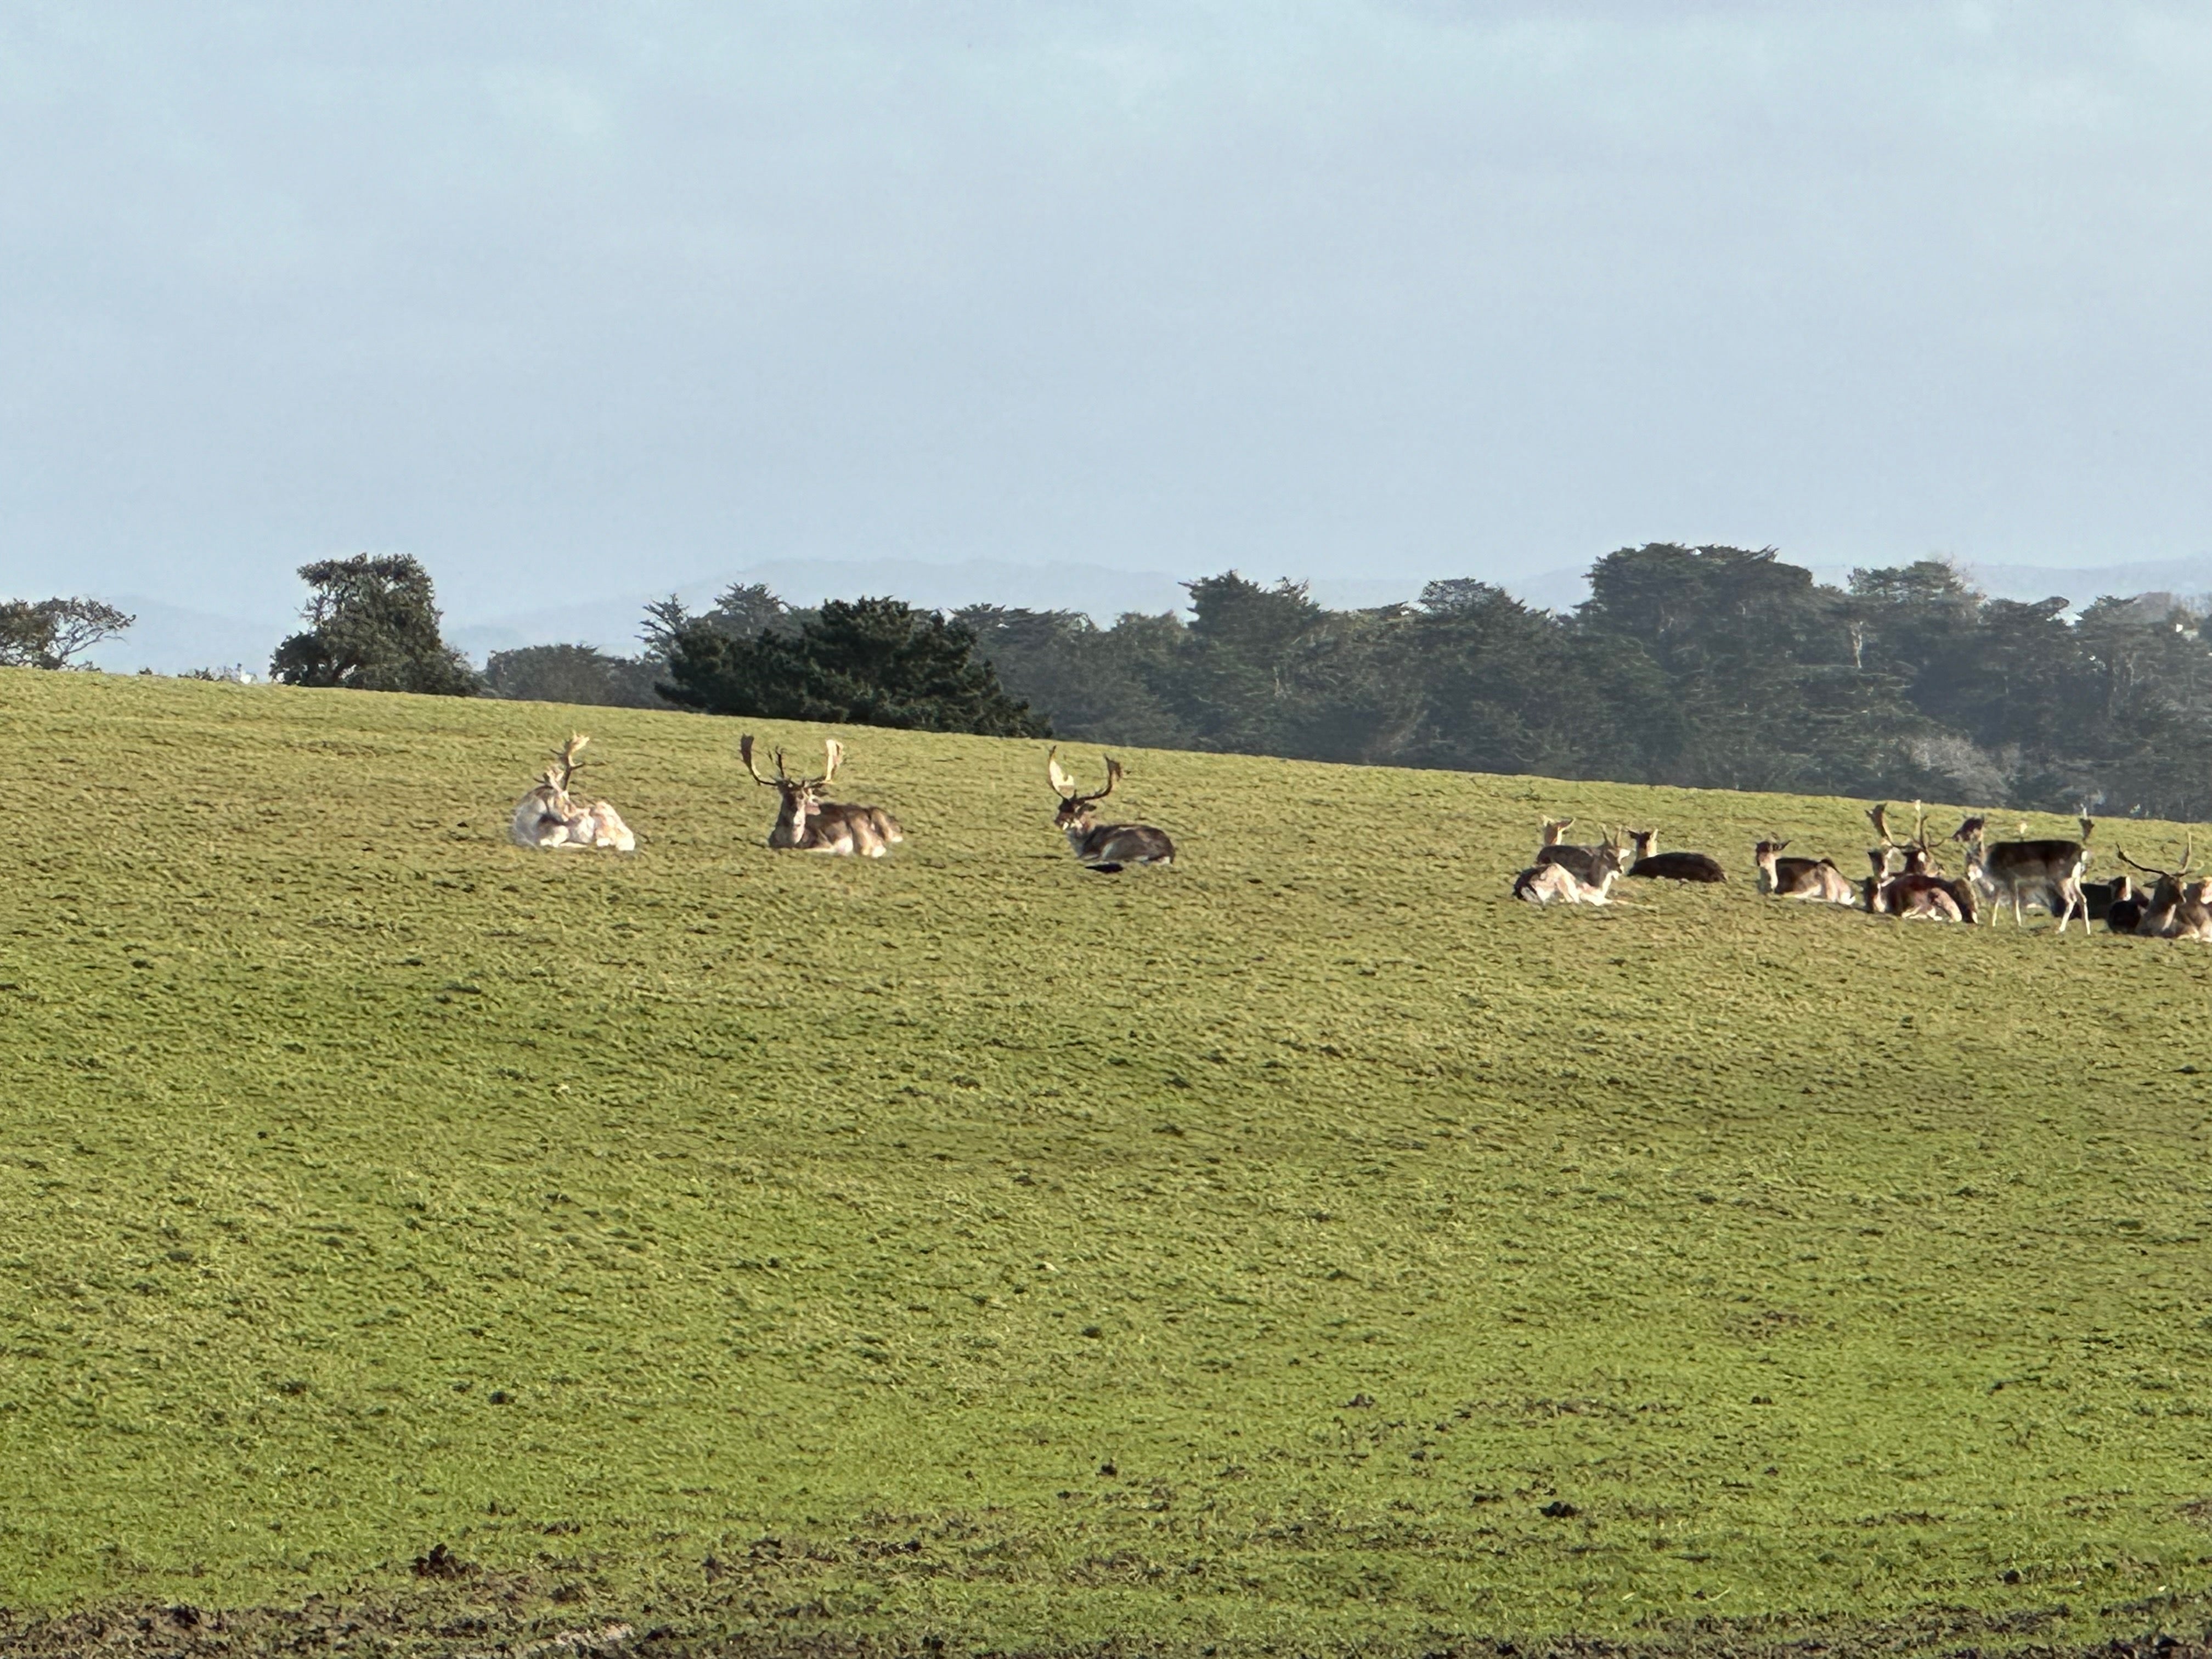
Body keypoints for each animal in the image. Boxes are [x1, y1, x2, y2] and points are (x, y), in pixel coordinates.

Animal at [509, 734, 637, 853]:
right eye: (561, 797)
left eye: (567, 796)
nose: (570, 818)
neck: (529, 828)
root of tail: (629, 835)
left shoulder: (560, 832)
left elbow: (548, 843)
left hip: (603, 830)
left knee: (601, 843)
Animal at [1048, 748, 1176, 872]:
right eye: (1060, 807)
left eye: (1076, 811)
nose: (1059, 822)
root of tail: (1167, 854)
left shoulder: (1094, 850)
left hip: (1119, 844)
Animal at [1956, 814, 2092, 932]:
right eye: (1964, 823)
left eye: (1975, 827)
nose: (1956, 836)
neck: (1987, 860)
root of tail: (2082, 852)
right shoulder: (1998, 885)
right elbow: (1995, 904)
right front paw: (1991, 925)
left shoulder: (2011, 880)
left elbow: (2014, 901)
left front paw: (2018, 925)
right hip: (2075, 880)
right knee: (2082, 898)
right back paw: (2086, 930)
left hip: (2061, 880)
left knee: (2071, 900)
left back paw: (2060, 929)